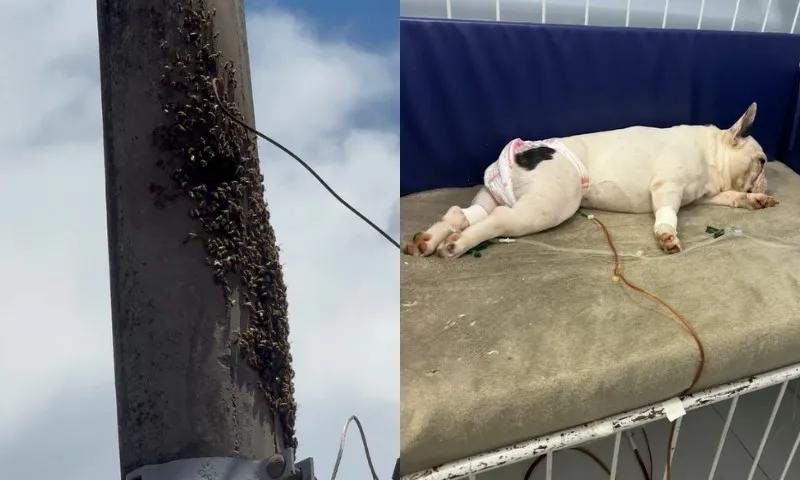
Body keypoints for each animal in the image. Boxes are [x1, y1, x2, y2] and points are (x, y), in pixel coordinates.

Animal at [404, 102, 780, 258]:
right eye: (762, 161)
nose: (766, 182)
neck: (711, 152)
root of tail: (521, 153)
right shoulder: (668, 187)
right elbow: (667, 214)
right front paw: (666, 235)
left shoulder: (702, 194)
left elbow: (728, 198)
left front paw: (752, 199)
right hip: (552, 204)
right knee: (496, 221)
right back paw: (458, 245)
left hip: (492, 195)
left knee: (461, 213)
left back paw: (429, 240)